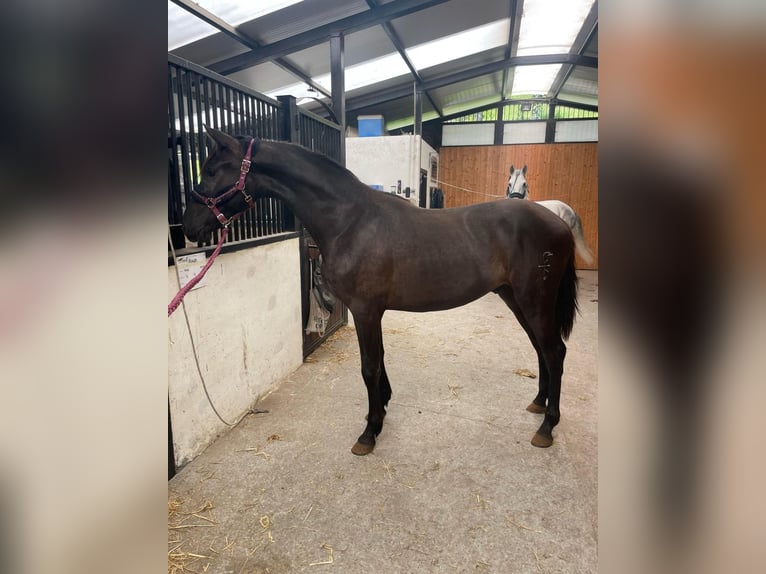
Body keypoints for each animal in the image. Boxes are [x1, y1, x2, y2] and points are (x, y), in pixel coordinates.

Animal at [183, 127, 579, 455]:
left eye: (213, 170)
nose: (188, 225)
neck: (350, 220)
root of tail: (559, 222)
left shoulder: (365, 310)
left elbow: (369, 367)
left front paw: (369, 432)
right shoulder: (373, 311)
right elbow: (381, 361)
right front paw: (383, 409)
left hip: (534, 301)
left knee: (555, 351)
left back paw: (547, 426)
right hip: (517, 300)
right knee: (541, 350)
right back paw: (539, 403)